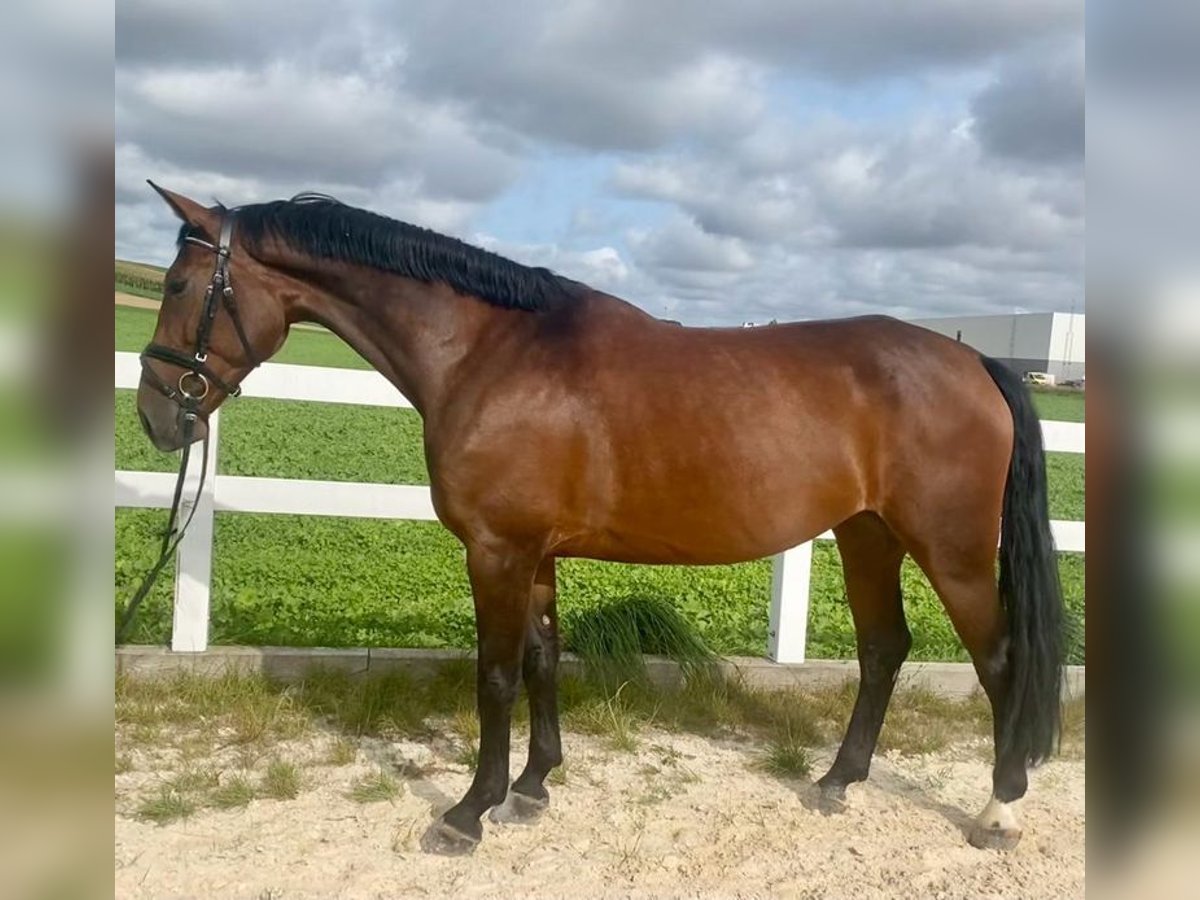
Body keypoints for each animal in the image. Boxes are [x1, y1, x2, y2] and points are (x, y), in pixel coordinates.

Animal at [136, 187, 1065, 854]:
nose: (156, 415)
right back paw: (839, 781)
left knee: (1000, 662)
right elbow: (544, 660)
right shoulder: (534, 553)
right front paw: (533, 787)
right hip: (867, 534)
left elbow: (496, 676)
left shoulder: (496, 552)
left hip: (950, 549)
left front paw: (468, 811)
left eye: (179, 285)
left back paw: (999, 812)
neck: (491, 353)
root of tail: (977, 361)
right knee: (883, 650)